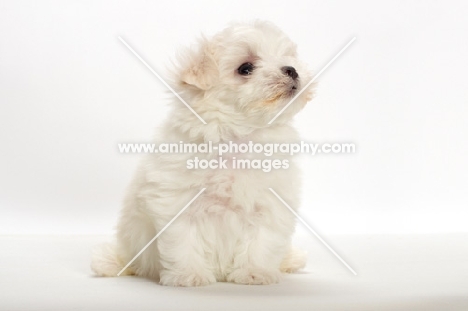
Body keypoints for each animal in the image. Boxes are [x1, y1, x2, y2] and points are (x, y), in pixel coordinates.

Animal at [92, 20, 314, 286]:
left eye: (288, 56)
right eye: (245, 68)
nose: (291, 69)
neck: (237, 139)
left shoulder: (270, 205)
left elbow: (261, 244)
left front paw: (254, 273)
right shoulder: (177, 203)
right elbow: (183, 243)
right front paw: (189, 275)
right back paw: (110, 264)